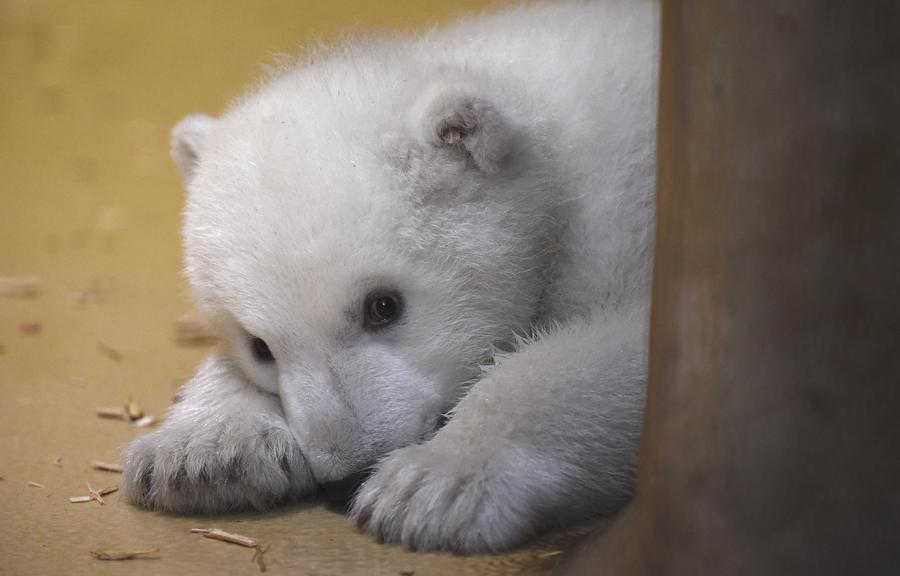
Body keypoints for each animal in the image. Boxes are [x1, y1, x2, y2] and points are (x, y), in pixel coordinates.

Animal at [123, 0, 659, 553]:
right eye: (259, 347)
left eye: (383, 305)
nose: (345, 476)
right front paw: (202, 452)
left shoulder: (623, 221)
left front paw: (432, 485)